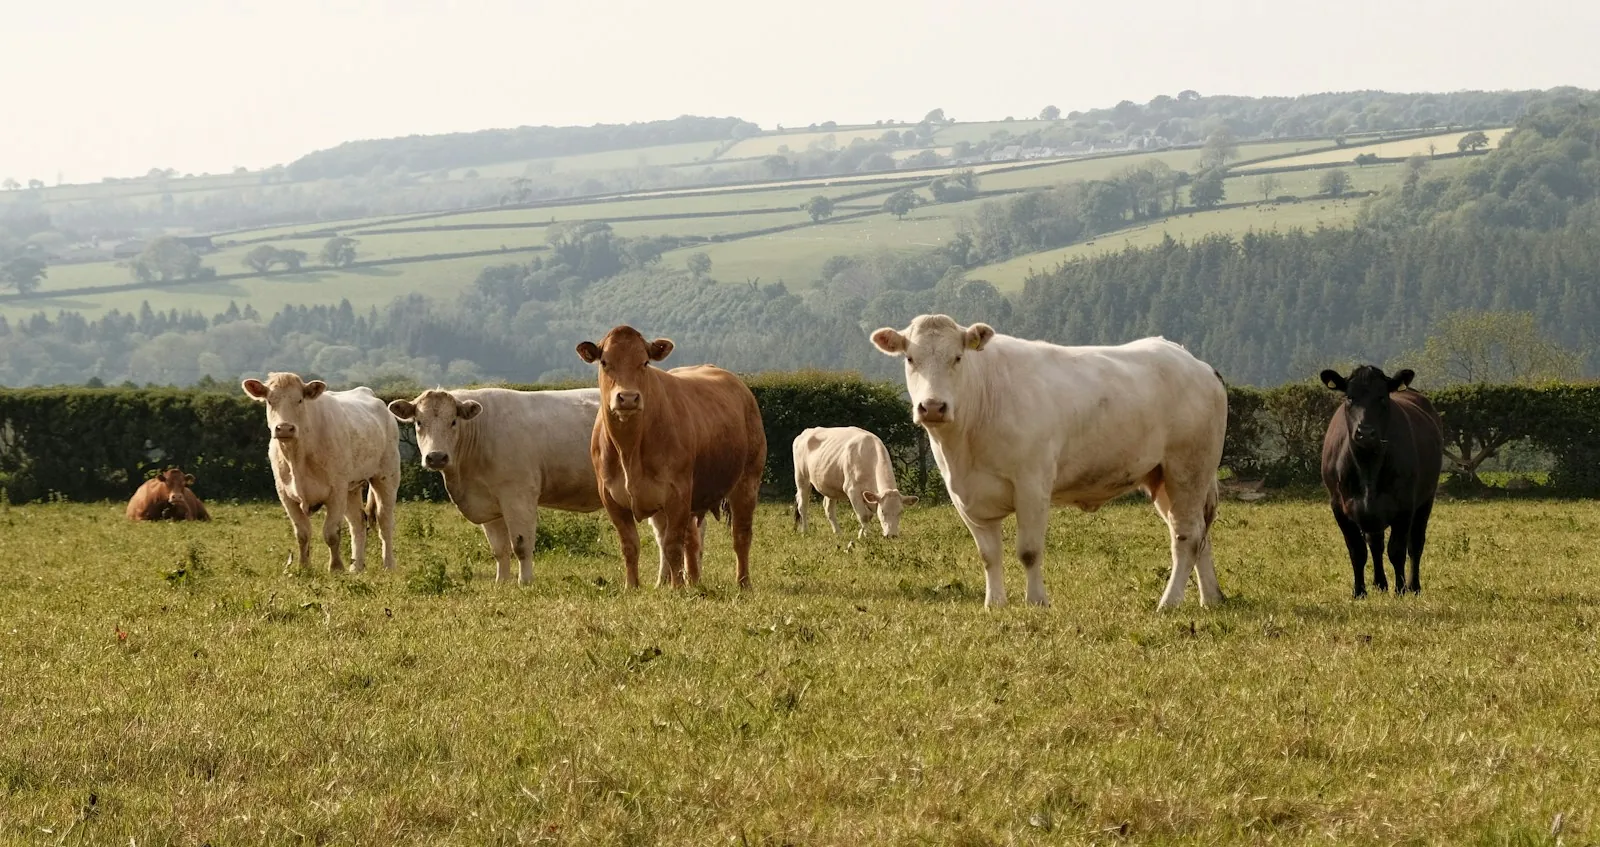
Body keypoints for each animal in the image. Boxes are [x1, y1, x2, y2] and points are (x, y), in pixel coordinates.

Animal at [242, 372, 400, 573]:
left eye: (299, 400)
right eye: (270, 401)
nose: (284, 428)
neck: (297, 455)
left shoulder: (336, 491)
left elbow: (331, 533)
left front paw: (336, 567)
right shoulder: (285, 495)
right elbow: (302, 533)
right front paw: (303, 567)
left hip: (386, 476)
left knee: (384, 521)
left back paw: (389, 565)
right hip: (351, 488)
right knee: (358, 523)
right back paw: (356, 567)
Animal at [388, 387, 604, 585]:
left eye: (453, 421)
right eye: (419, 422)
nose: (436, 457)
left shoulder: (518, 496)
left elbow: (521, 545)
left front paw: (525, 582)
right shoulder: (489, 504)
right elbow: (499, 549)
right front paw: (501, 582)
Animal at [576, 326, 766, 590]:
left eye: (644, 362)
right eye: (604, 362)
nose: (628, 397)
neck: (629, 450)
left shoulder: (678, 494)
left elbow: (673, 545)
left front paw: (677, 589)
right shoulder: (611, 498)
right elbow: (630, 545)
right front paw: (632, 586)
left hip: (747, 480)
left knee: (741, 535)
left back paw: (743, 583)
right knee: (691, 540)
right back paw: (688, 581)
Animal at [871, 314, 1228, 610]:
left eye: (957, 358)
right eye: (910, 359)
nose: (932, 406)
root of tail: (1196, 363)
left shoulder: (1032, 485)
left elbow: (1028, 551)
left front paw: (1036, 602)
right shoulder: (965, 496)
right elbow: (989, 555)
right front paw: (994, 603)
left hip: (1188, 469)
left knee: (1187, 537)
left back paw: (1169, 602)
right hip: (1163, 478)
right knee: (1199, 535)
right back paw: (1210, 598)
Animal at [1319, 365, 1443, 598]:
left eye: (1382, 397)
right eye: (1350, 397)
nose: (1366, 432)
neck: (1368, 466)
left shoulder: (1405, 505)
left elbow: (1397, 550)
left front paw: (1401, 589)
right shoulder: (1338, 506)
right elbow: (1357, 550)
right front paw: (1359, 591)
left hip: (1426, 499)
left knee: (1415, 543)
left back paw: (1414, 586)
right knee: (1375, 544)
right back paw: (1380, 583)